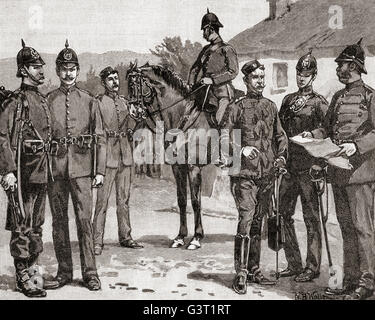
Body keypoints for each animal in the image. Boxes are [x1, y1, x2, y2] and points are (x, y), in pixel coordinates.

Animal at [126, 60, 222, 250]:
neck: (183, 117)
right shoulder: (178, 168)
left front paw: (196, 238)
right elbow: (182, 200)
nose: (134, 112)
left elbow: (196, 202)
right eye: (128, 85)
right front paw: (180, 237)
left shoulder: (193, 168)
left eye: (136, 85)